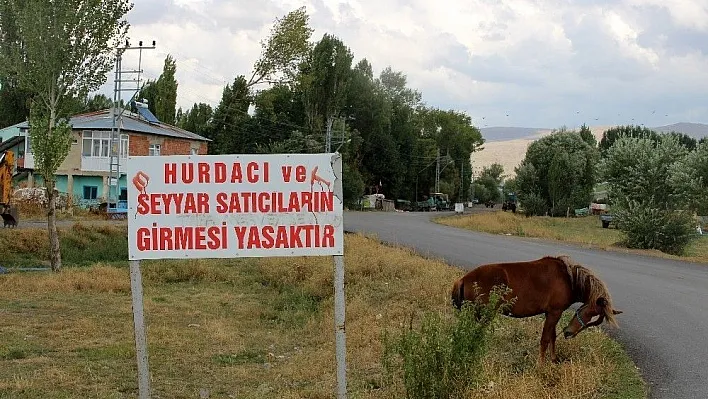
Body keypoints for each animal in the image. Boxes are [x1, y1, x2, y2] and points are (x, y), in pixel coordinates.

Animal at [450, 256, 624, 366]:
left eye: (594, 321)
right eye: (589, 313)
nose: (569, 333)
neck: (567, 278)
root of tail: (463, 279)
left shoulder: (551, 313)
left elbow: (552, 337)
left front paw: (553, 360)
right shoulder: (554, 312)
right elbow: (545, 339)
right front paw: (540, 365)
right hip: (482, 315)